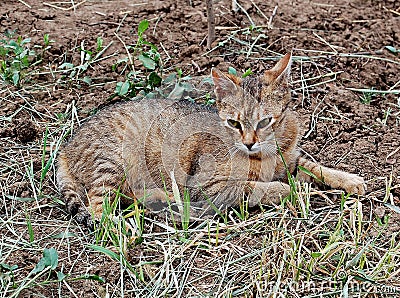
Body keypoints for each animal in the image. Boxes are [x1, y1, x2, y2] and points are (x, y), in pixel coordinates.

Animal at [56, 53, 366, 226]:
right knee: (98, 207)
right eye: (234, 123)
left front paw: (349, 179)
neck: (268, 152)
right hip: (113, 161)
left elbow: (316, 167)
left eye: (265, 121)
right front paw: (285, 189)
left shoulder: (292, 159)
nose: (249, 142)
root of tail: (66, 147)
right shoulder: (207, 183)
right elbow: (250, 187)